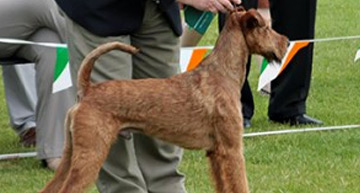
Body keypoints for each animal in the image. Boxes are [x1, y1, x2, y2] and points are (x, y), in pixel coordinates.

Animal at [38, 7, 286, 193]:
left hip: (71, 152)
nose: (285, 41)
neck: (223, 72)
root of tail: (88, 90)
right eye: (266, 27)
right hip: (91, 152)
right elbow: (239, 184)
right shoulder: (231, 148)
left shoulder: (216, 153)